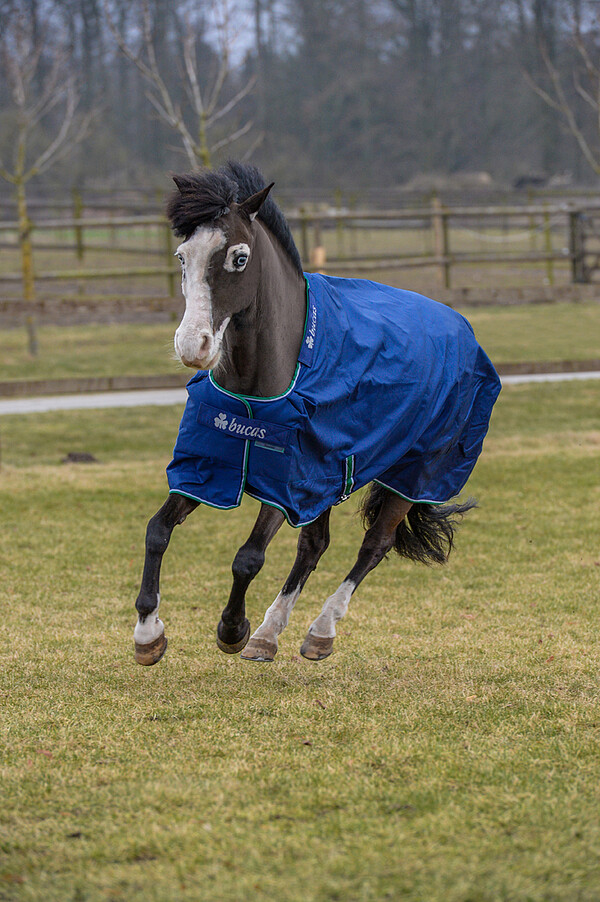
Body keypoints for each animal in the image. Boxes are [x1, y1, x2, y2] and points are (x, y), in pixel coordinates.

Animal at [133, 162, 501, 666]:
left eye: (239, 258)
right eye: (182, 256)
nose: (193, 346)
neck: (260, 391)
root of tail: (462, 327)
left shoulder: (287, 483)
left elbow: (248, 556)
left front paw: (232, 629)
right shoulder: (212, 468)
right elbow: (158, 531)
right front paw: (148, 633)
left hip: (415, 472)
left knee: (374, 546)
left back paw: (319, 630)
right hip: (328, 482)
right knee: (314, 546)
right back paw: (269, 634)